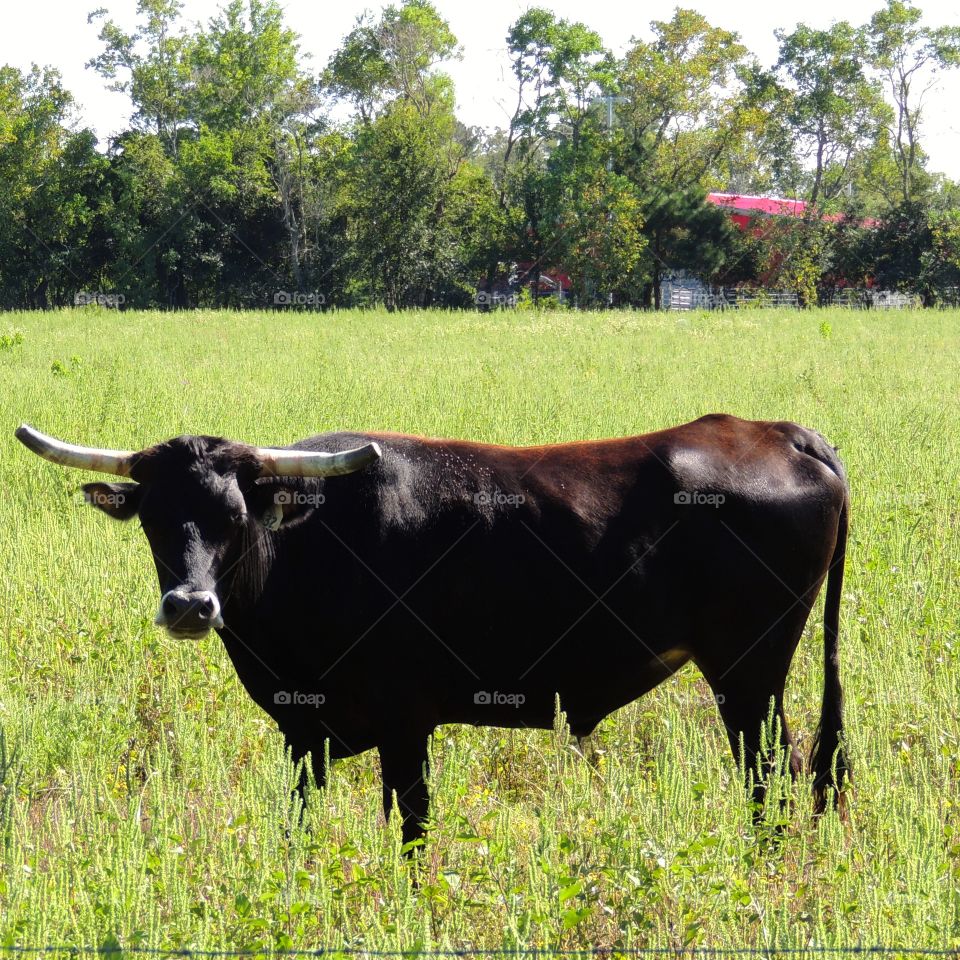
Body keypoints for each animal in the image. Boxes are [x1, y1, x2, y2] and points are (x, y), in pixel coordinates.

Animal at [15, 416, 852, 844]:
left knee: (770, 776)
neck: (313, 543)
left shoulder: (404, 722)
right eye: (155, 519)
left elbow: (414, 832)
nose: (191, 605)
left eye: (234, 515)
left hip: (747, 675)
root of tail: (776, 430)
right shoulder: (302, 732)